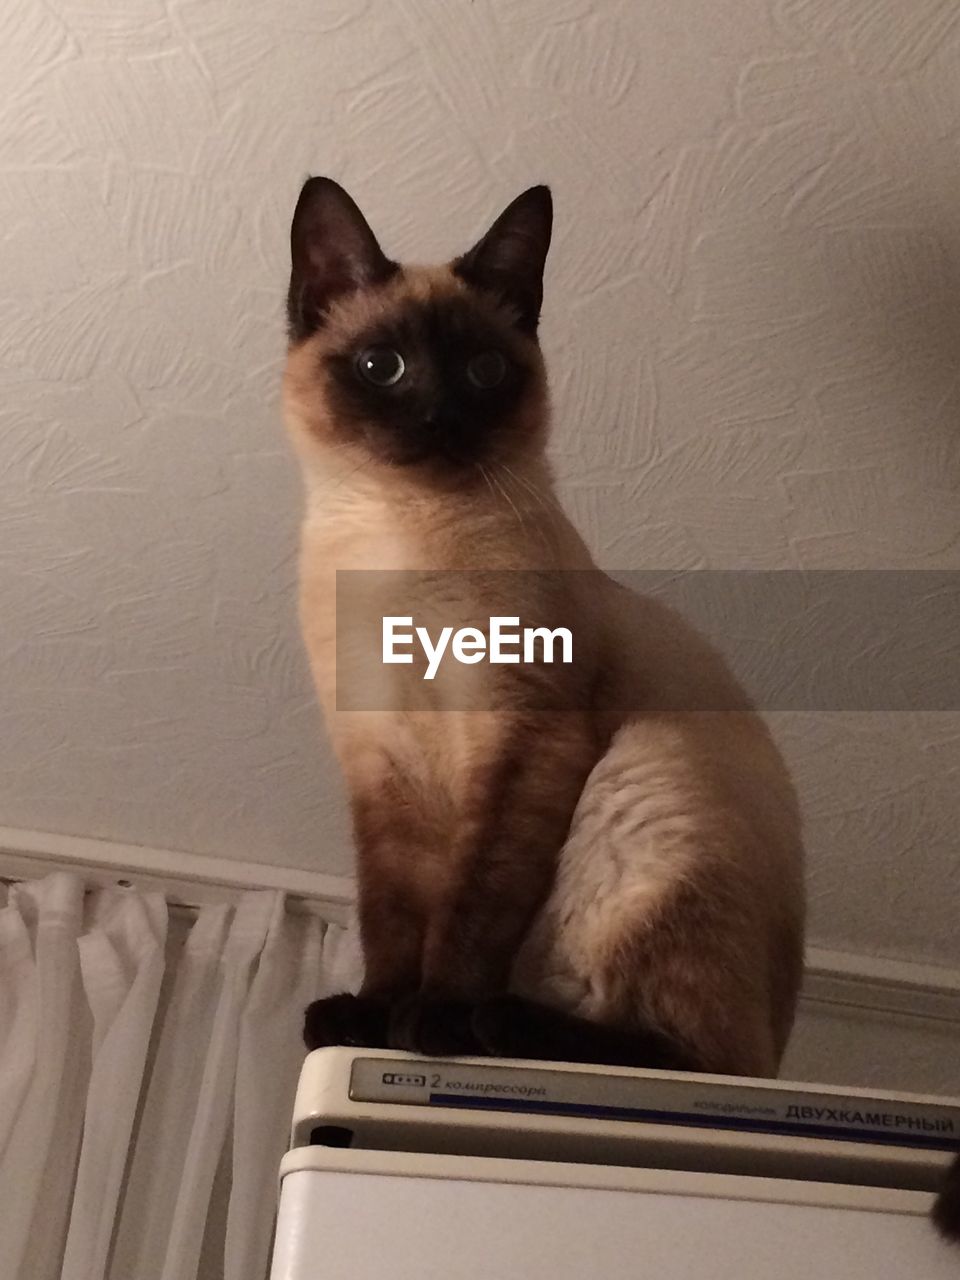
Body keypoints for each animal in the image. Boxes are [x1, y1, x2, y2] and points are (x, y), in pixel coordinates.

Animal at [284, 177, 803, 1080]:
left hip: (646, 771)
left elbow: (472, 905)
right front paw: (374, 1016)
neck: (396, 535)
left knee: (701, 1057)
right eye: (383, 367)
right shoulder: (383, 762)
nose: (439, 418)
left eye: (484, 370)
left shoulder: (522, 736)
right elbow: (395, 916)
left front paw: (431, 1018)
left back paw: (494, 1024)